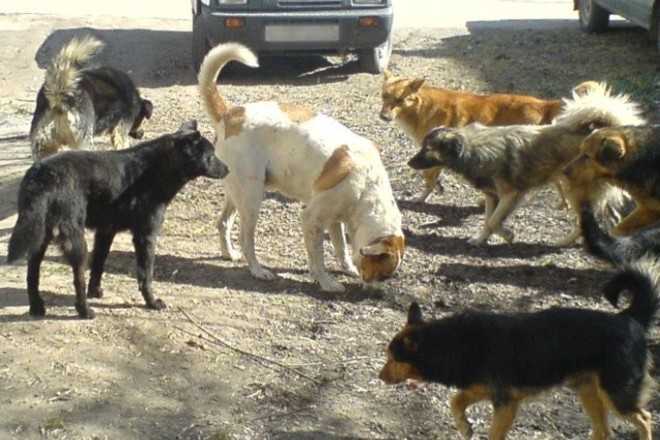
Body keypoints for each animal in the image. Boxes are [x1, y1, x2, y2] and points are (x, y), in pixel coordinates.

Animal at [6, 120, 228, 320]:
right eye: (211, 155)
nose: (228, 169)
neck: (157, 169)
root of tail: (43, 175)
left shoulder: (106, 232)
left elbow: (99, 264)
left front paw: (95, 292)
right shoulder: (146, 236)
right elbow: (145, 274)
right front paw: (152, 302)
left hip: (40, 237)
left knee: (32, 273)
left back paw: (37, 307)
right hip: (75, 241)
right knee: (77, 278)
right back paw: (84, 311)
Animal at [197, 43, 402, 292]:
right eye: (383, 274)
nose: (376, 294)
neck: (367, 189)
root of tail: (230, 114)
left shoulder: (333, 219)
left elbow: (341, 247)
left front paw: (348, 269)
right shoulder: (312, 219)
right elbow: (318, 258)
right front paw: (327, 282)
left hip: (238, 194)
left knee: (223, 223)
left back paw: (229, 254)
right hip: (252, 198)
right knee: (247, 240)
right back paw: (258, 271)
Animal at [378, 71, 564, 202]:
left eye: (400, 100)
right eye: (384, 96)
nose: (383, 117)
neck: (421, 107)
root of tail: (544, 104)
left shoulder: (431, 154)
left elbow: (428, 180)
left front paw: (422, 198)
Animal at [378, 262, 656, 438]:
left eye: (393, 358)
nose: (379, 377)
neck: (452, 343)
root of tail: (629, 318)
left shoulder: (506, 405)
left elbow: (491, 433)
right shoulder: (483, 390)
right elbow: (455, 401)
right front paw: (465, 427)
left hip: (616, 394)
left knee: (644, 420)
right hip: (589, 391)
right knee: (603, 431)